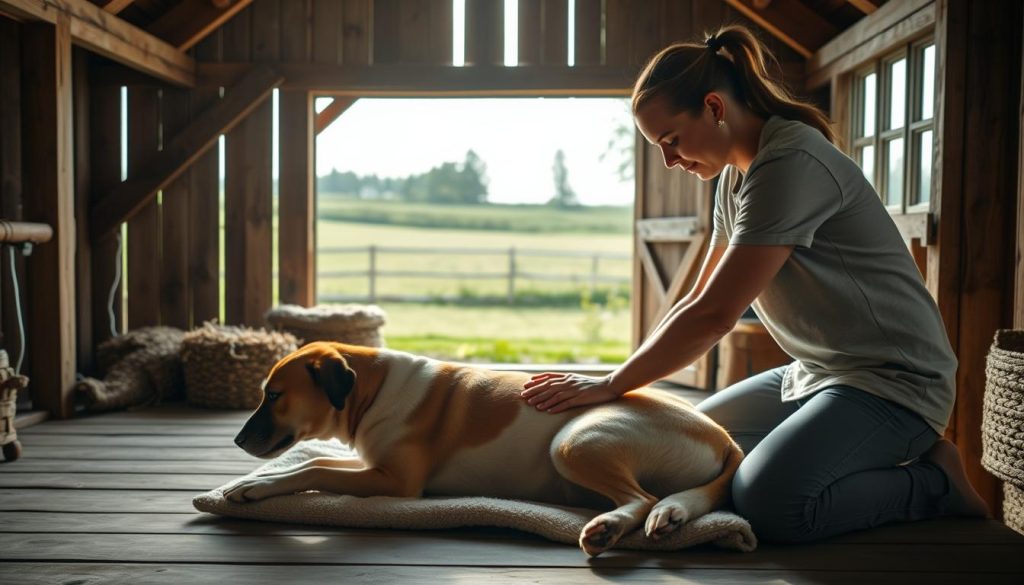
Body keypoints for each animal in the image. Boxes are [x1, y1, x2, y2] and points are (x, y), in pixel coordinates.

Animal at [228, 340, 741, 557]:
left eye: (274, 396)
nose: (236, 440)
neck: (372, 390)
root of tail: (725, 438)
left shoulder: (396, 482)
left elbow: (313, 468)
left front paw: (255, 488)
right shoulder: (370, 461)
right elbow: (317, 458)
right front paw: (258, 479)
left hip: (572, 442)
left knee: (643, 499)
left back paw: (607, 528)